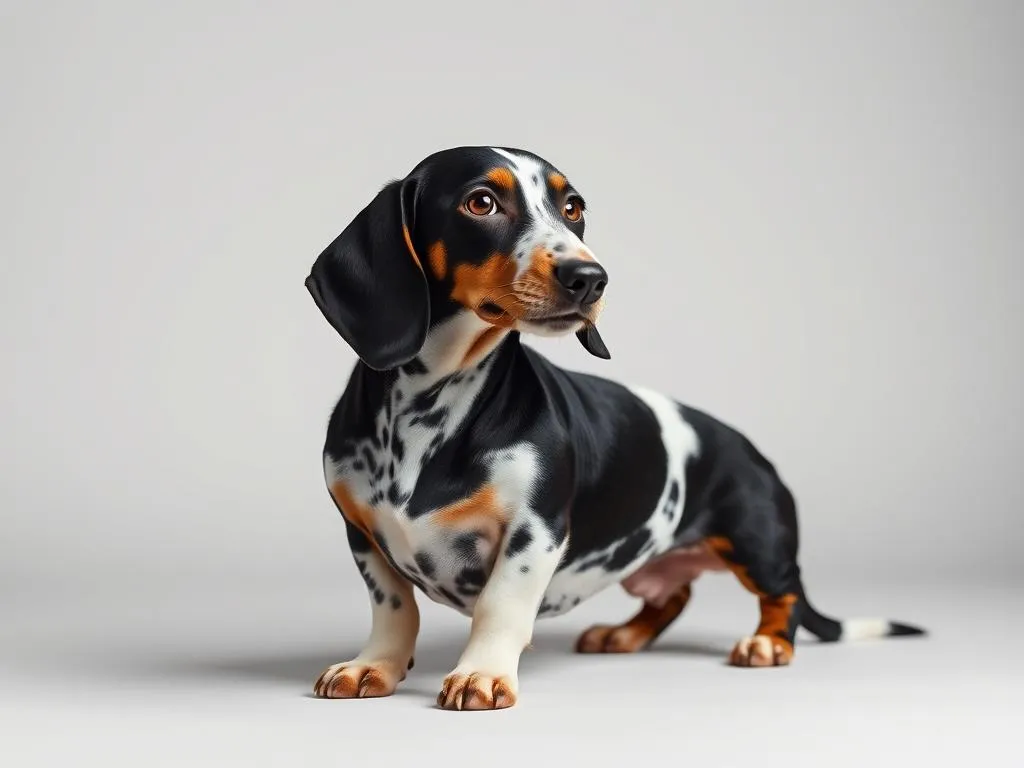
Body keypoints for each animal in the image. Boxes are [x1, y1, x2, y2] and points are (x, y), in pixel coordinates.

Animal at [299, 147, 925, 712]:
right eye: (481, 202)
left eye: (573, 207)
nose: (589, 278)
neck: (432, 402)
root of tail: (750, 449)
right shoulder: (364, 535)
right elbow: (394, 608)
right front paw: (373, 666)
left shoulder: (535, 531)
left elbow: (500, 606)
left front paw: (482, 674)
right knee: (673, 598)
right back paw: (623, 634)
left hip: (758, 541)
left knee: (785, 596)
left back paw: (767, 644)